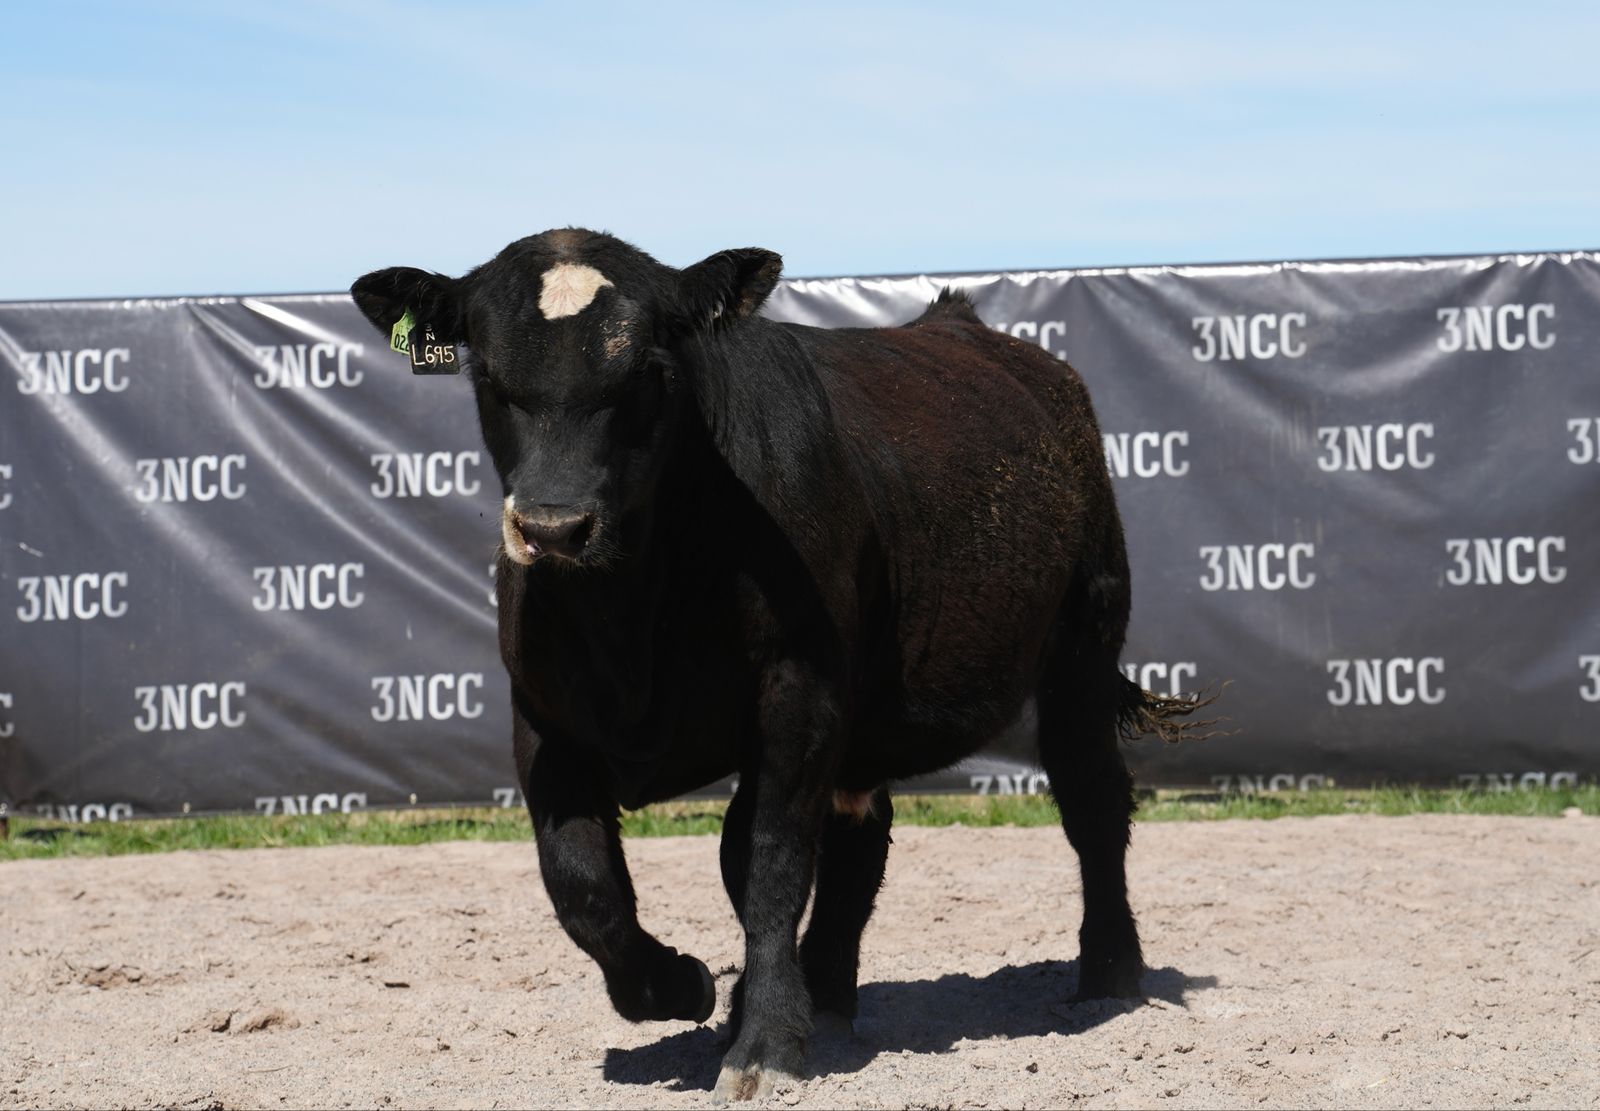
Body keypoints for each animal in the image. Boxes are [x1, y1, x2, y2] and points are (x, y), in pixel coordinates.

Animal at [351, 229, 1209, 1103]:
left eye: (649, 369)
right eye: (487, 373)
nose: (554, 528)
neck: (631, 612)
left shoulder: (798, 691)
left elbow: (766, 859)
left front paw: (761, 1038)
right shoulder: (544, 722)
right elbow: (583, 886)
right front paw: (682, 985)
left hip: (1084, 640)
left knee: (1091, 799)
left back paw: (1108, 972)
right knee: (862, 836)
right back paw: (825, 994)